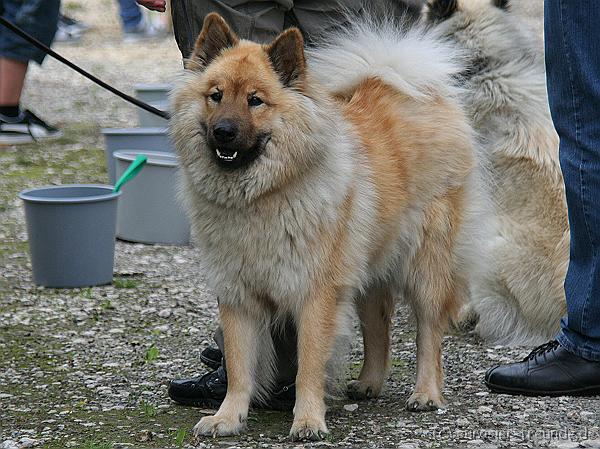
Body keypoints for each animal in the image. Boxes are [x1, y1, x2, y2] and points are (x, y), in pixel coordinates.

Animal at [171, 12, 480, 440]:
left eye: (255, 100)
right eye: (215, 95)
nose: (224, 132)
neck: (261, 198)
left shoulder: (315, 294)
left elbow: (308, 366)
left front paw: (307, 420)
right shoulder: (238, 296)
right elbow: (239, 366)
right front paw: (227, 417)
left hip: (426, 265)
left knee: (429, 332)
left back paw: (426, 393)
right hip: (367, 265)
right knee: (378, 323)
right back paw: (368, 382)